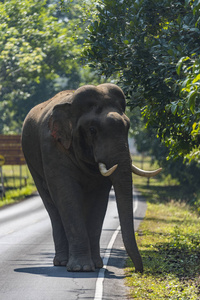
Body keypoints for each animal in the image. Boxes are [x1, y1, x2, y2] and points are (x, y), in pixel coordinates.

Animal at [21, 83, 162, 274]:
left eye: (127, 128)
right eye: (92, 130)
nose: (138, 271)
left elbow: (99, 199)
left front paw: (96, 266)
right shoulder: (51, 147)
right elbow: (67, 195)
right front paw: (81, 268)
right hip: (31, 163)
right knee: (52, 206)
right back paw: (62, 262)